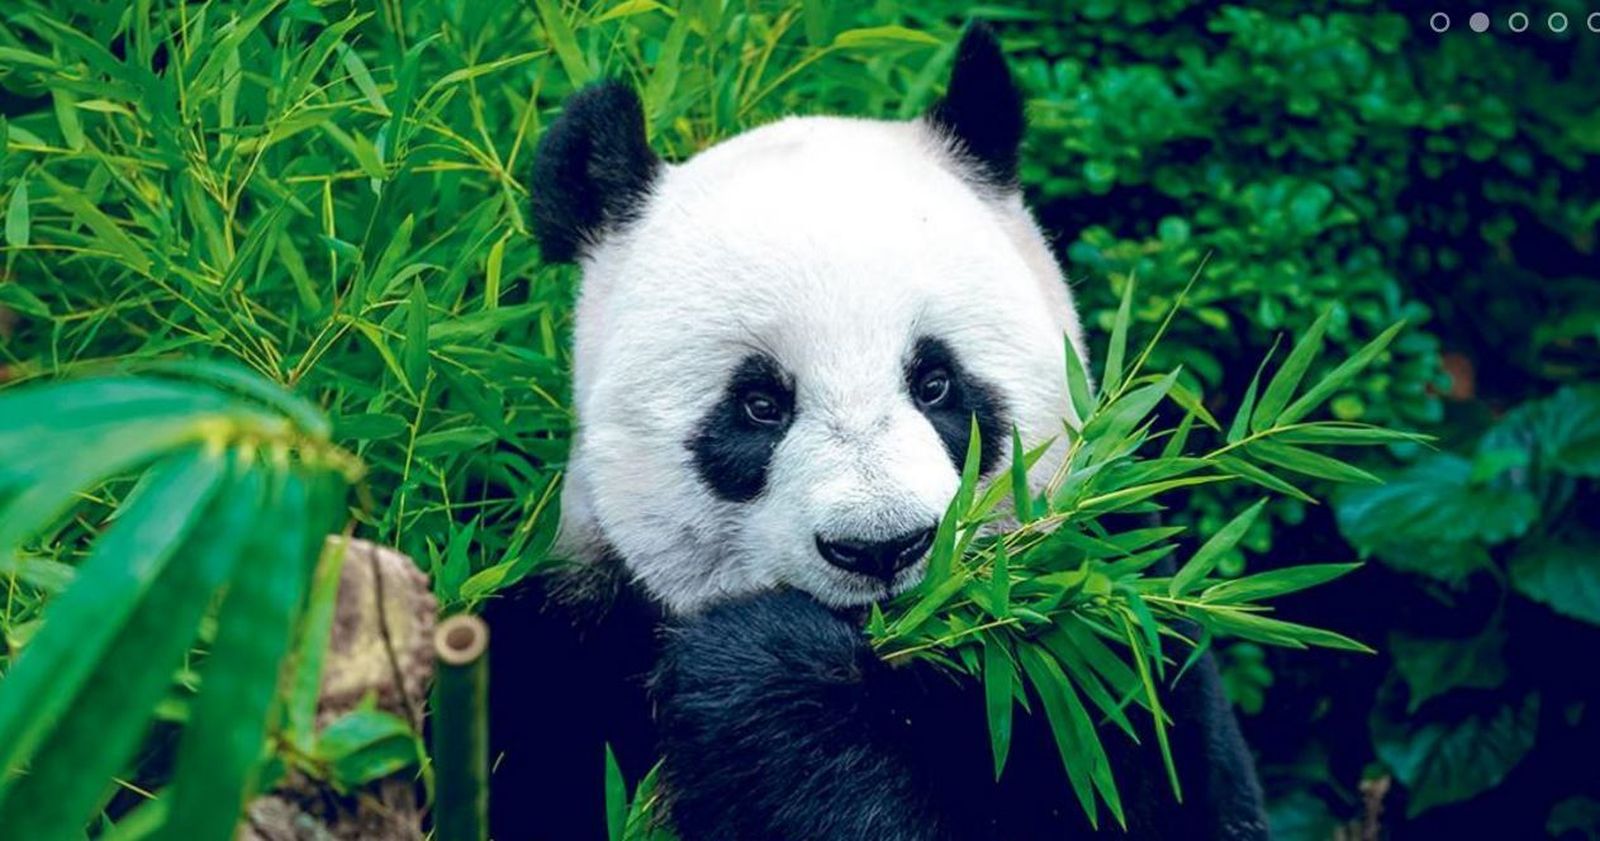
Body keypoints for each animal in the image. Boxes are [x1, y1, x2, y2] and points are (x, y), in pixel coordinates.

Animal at [486, 23, 1269, 841]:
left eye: (936, 383)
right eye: (759, 404)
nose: (881, 546)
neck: (892, 651)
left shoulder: (1103, 647)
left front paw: (759, 673)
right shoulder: (564, 647)